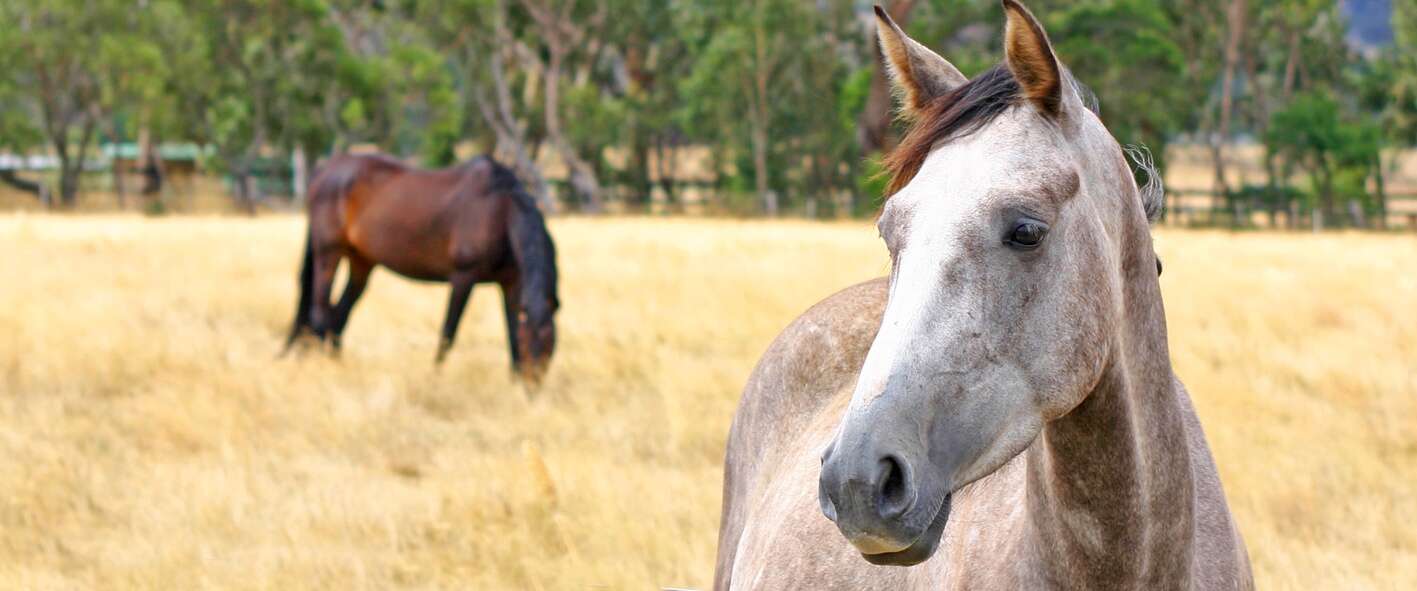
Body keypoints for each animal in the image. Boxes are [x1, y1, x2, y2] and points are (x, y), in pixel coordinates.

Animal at [283, 153, 559, 384]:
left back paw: (339, 367)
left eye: (550, 347)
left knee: (339, 314)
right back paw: (325, 368)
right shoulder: (463, 278)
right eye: (530, 345)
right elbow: (448, 333)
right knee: (320, 312)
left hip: (361, 261)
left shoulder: (509, 284)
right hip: (329, 253)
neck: (500, 211)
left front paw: (513, 381)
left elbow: (511, 332)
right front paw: (435, 378)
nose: (532, 388)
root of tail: (325, 169)